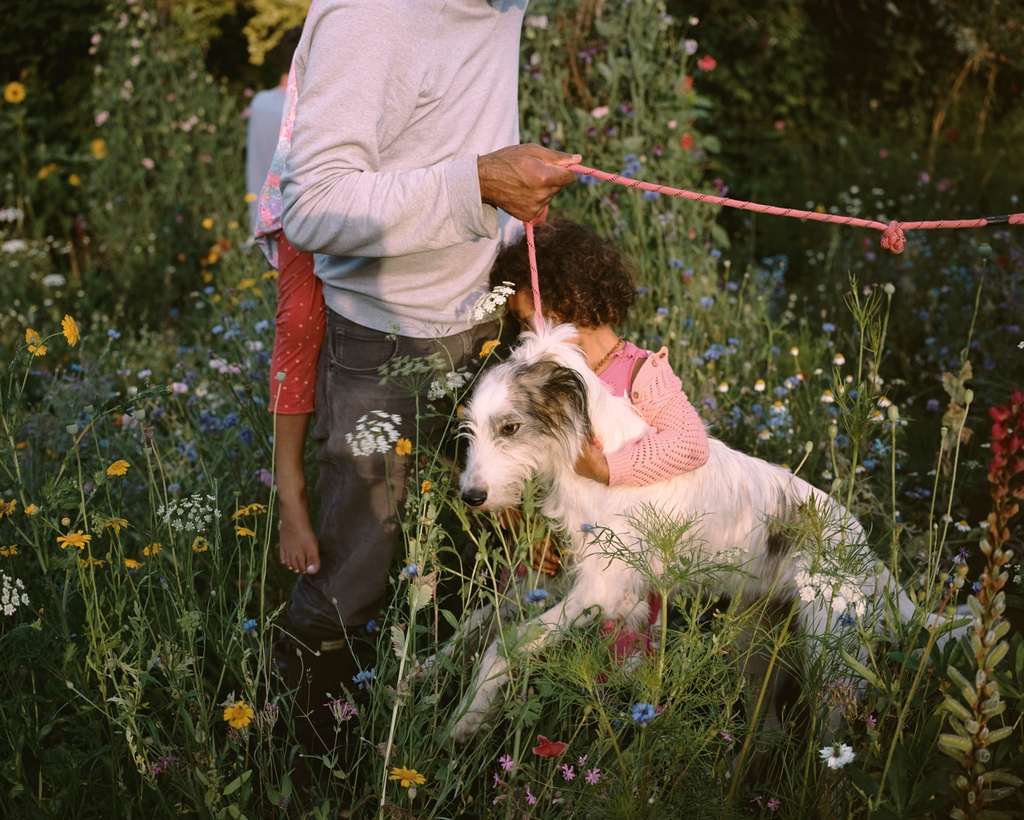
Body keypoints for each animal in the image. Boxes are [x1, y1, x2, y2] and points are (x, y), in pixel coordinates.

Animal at [452, 325, 917, 741]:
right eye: (469, 427)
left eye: (510, 427)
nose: (470, 497)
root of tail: (867, 553)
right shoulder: (567, 579)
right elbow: (481, 618)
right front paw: (442, 670)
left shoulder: (600, 590)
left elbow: (506, 643)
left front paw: (467, 715)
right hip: (758, 649)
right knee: (767, 731)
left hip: (831, 665)